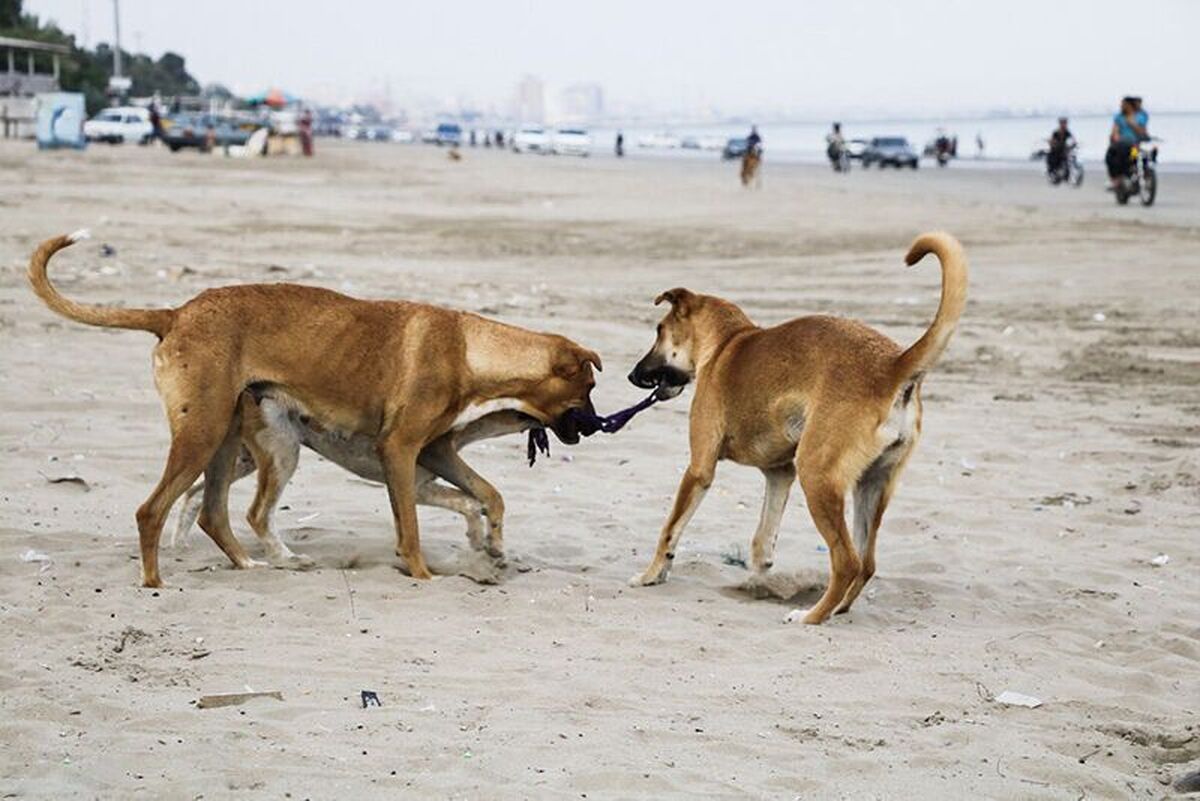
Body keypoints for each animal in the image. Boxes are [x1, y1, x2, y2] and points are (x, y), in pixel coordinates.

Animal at [30, 232, 600, 587]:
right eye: (590, 387)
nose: (596, 428)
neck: (469, 348)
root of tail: (175, 314)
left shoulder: (434, 453)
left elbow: (486, 496)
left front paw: (492, 546)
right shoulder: (401, 453)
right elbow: (413, 526)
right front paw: (422, 572)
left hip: (231, 442)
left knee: (213, 511)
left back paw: (252, 564)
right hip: (213, 435)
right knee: (161, 509)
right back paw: (156, 579)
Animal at [628, 231, 964, 623]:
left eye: (659, 331)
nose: (632, 375)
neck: (728, 341)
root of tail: (893, 366)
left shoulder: (699, 469)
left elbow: (670, 530)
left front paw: (651, 574)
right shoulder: (779, 474)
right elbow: (762, 542)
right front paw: (757, 581)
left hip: (817, 476)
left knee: (847, 561)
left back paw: (810, 616)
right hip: (871, 485)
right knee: (866, 563)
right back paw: (837, 609)